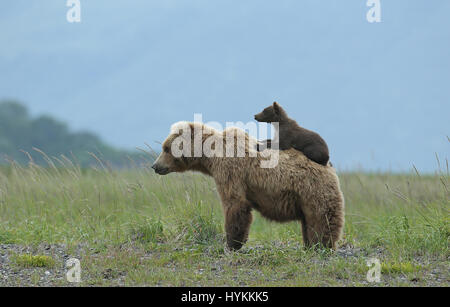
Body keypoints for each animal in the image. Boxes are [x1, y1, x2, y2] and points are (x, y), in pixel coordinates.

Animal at [151, 121, 344, 251]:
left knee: (321, 218)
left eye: (166, 148)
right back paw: (309, 245)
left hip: (312, 189)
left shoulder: (230, 171)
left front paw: (232, 243)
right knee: (308, 221)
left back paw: (322, 245)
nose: (155, 166)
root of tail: (329, 165)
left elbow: (235, 204)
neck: (210, 156)